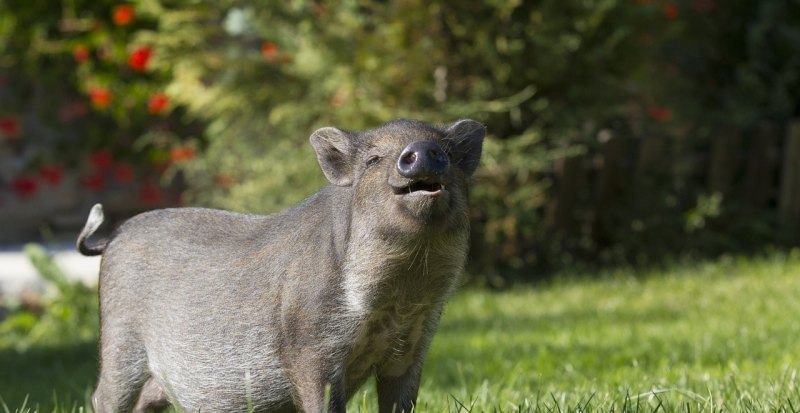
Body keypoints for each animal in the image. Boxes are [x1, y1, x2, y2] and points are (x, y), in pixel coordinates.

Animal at [78, 117, 484, 410]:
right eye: (372, 159)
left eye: (446, 152)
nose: (424, 150)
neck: (400, 297)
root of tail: (113, 235)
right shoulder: (310, 349)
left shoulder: (412, 347)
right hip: (119, 340)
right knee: (102, 396)